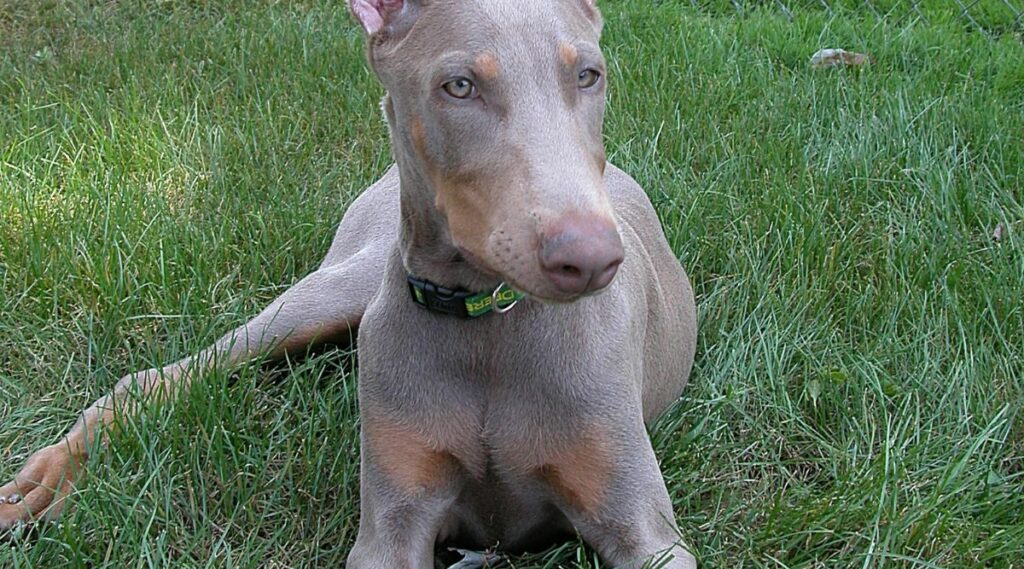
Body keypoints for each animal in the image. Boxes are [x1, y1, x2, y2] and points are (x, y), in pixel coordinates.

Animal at [0, 0, 696, 564]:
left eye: (588, 75)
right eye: (459, 86)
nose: (593, 259)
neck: (488, 324)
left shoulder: (643, 531)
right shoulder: (392, 524)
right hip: (327, 295)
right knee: (159, 376)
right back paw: (44, 484)